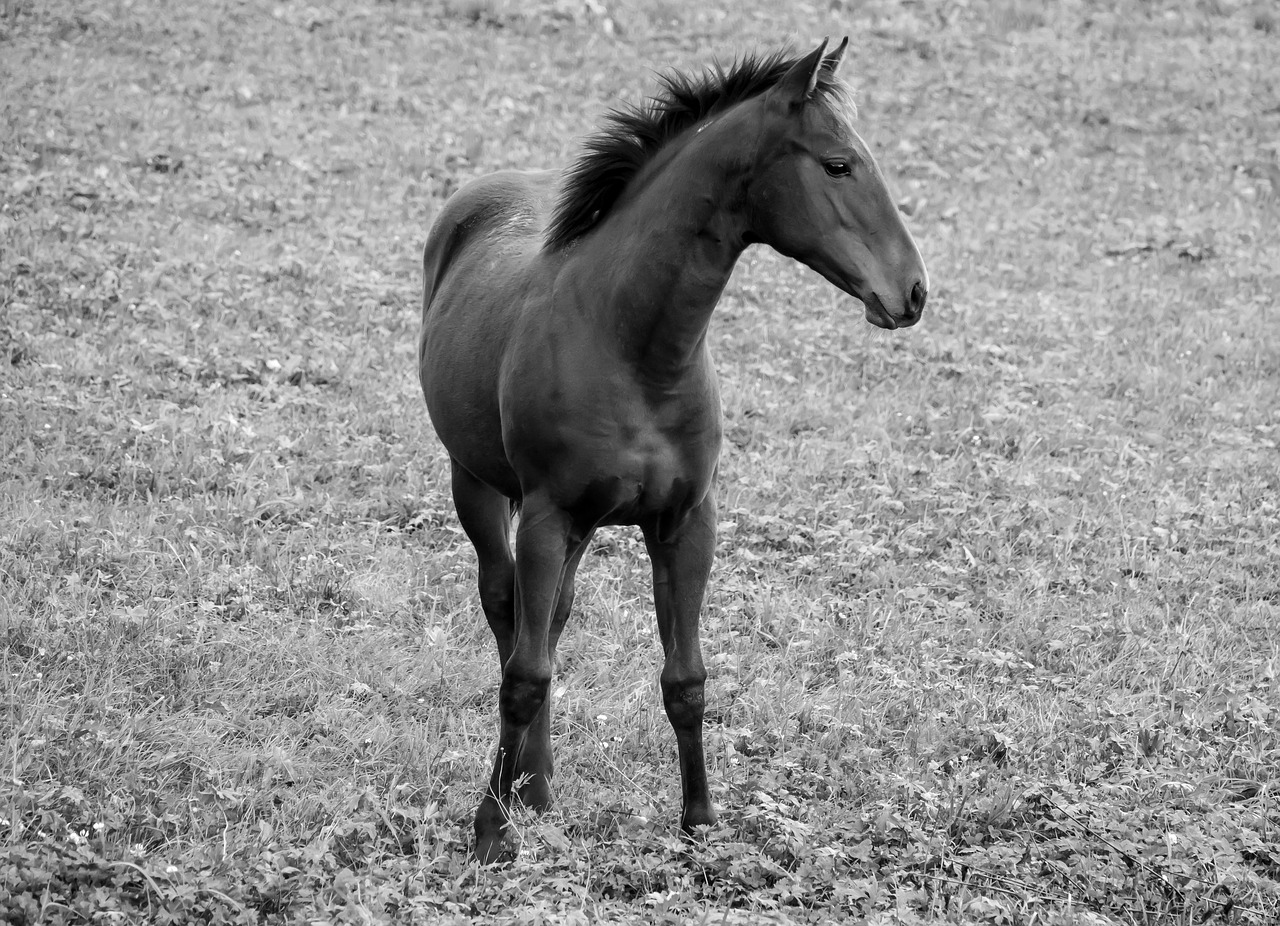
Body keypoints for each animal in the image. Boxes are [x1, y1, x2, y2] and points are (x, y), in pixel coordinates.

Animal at [419, 36, 931, 860]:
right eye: (838, 164)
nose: (912, 292)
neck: (633, 347)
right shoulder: (547, 517)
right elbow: (523, 675)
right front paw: (490, 831)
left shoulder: (687, 522)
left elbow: (685, 680)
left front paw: (700, 825)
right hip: (478, 487)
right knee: (508, 615)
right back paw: (522, 789)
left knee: (551, 621)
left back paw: (541, 786)